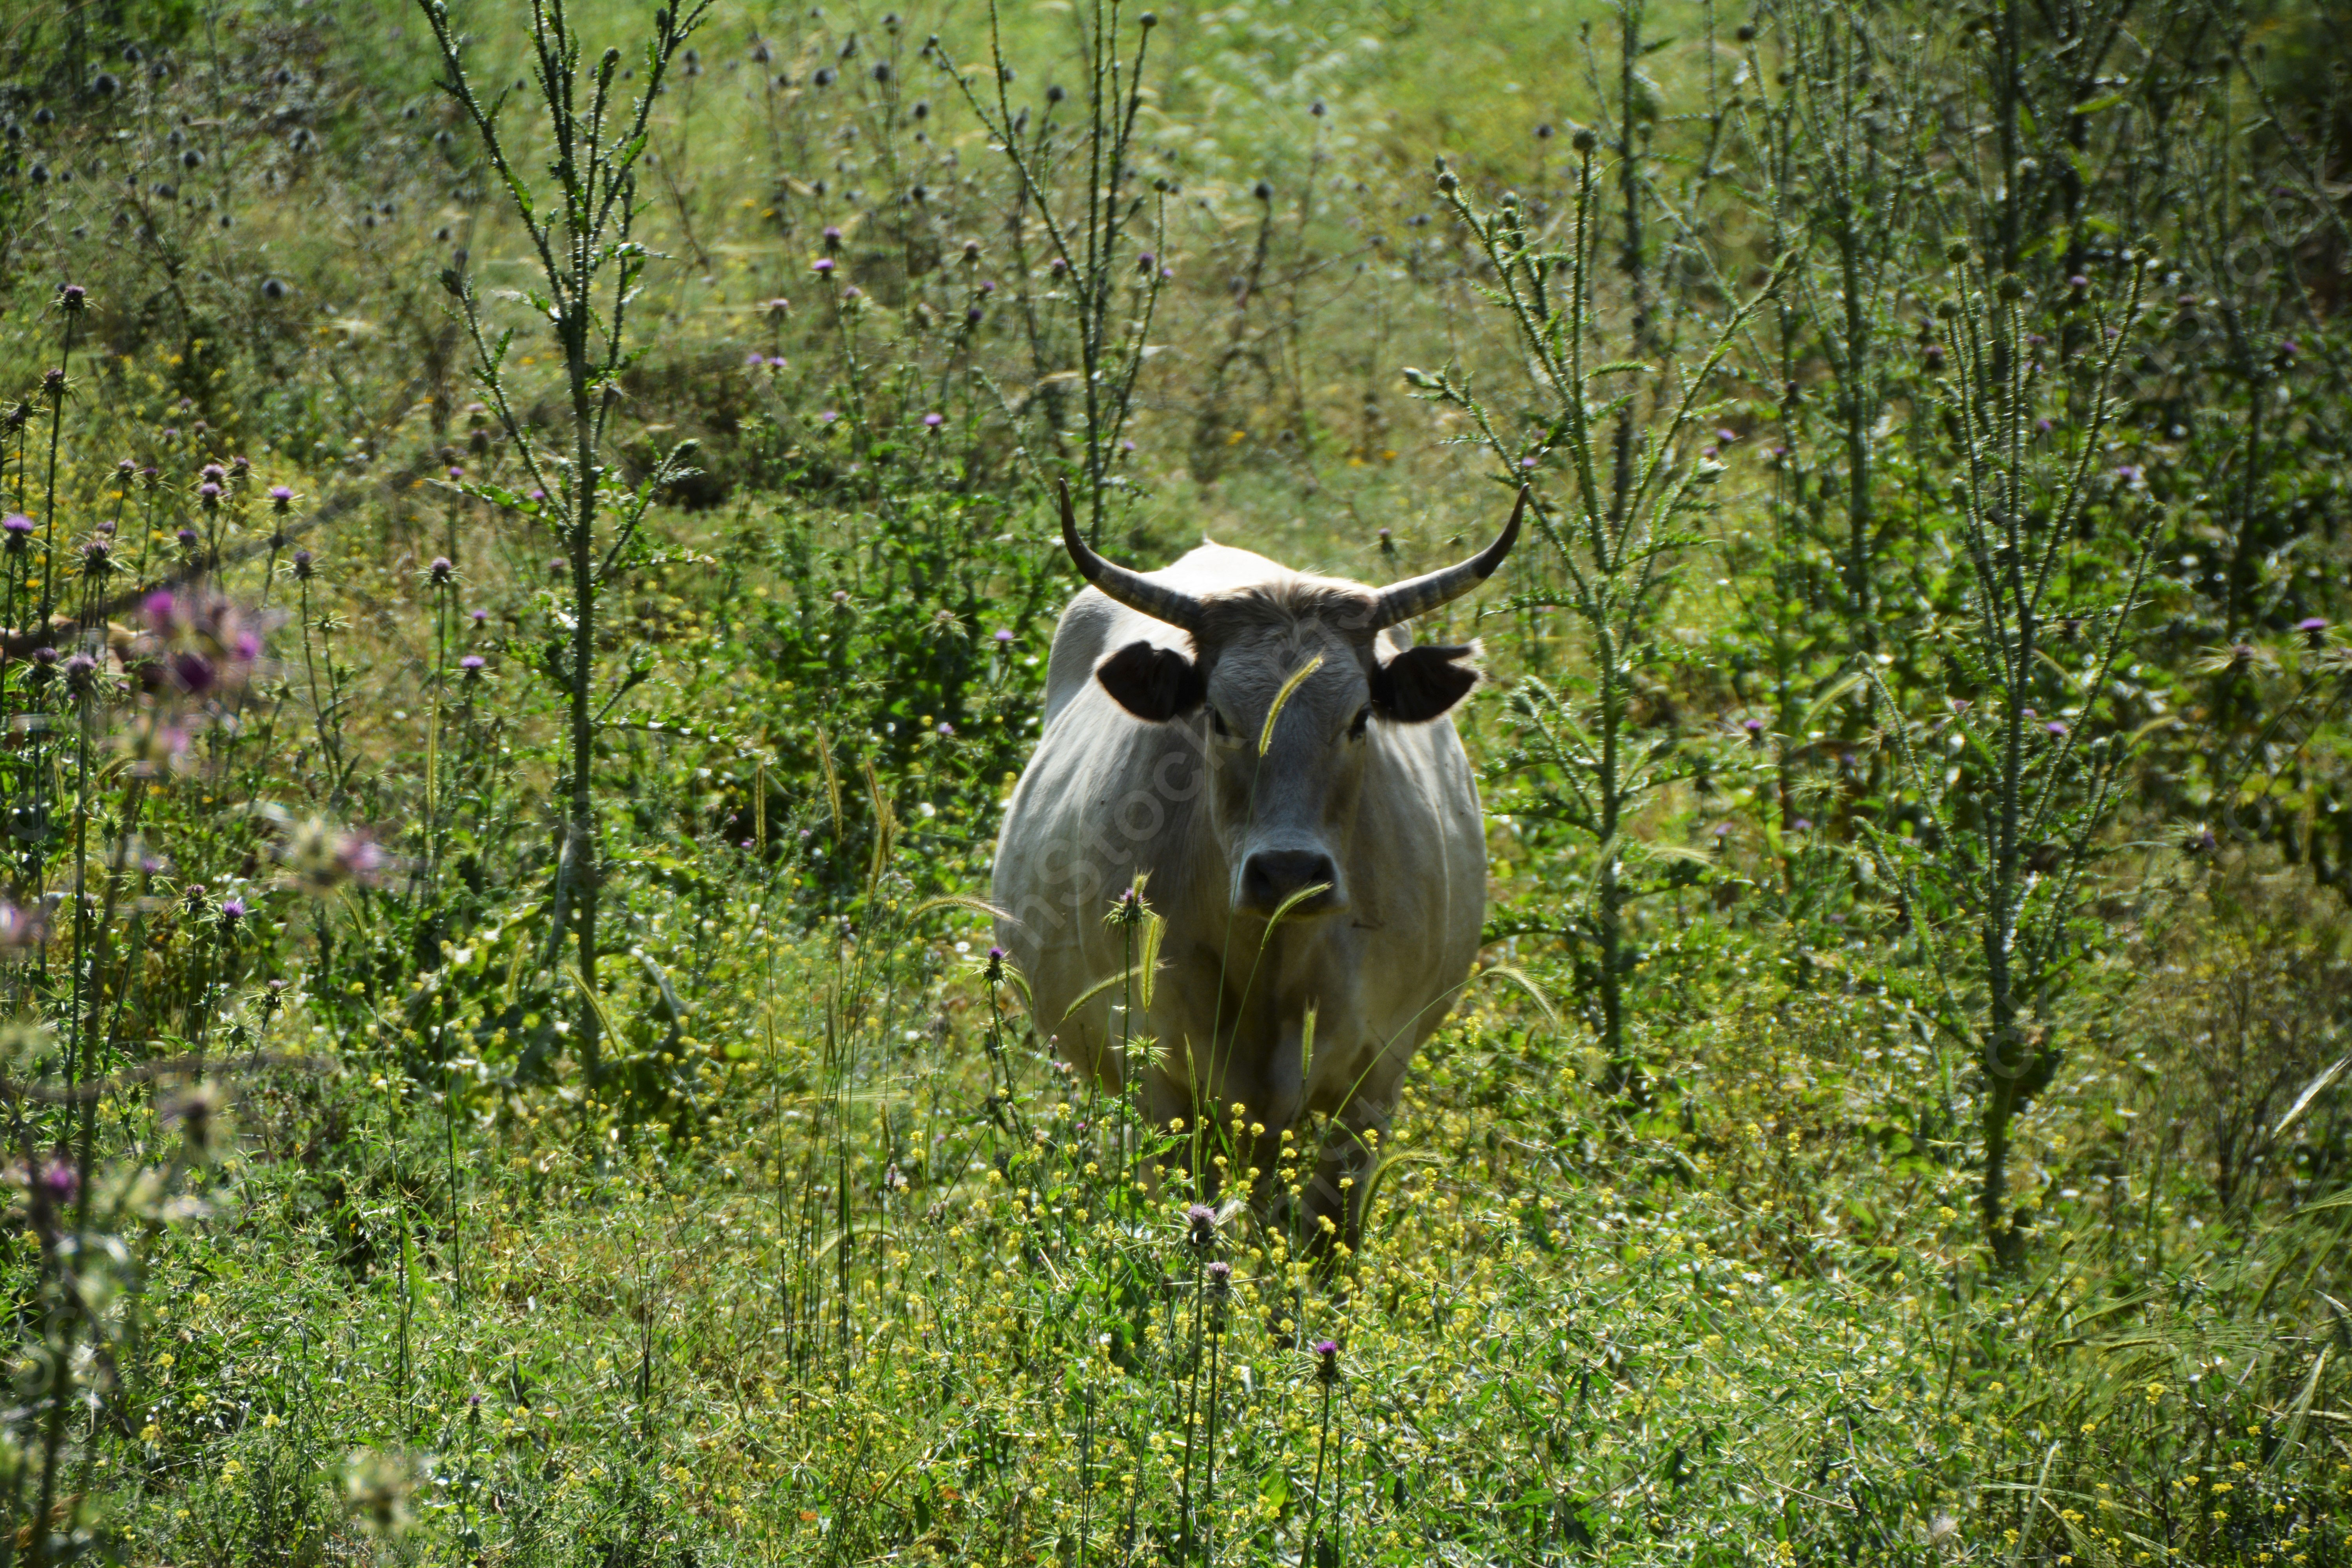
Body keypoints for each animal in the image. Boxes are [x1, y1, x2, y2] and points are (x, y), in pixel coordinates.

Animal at [993, 484, 1524, 1260]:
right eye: (1217, 717)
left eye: (1360, 719)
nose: (1290, 872)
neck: (1275, 958)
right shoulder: (1159, 1077)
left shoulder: (1374, 1079)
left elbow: (1328, 1237)